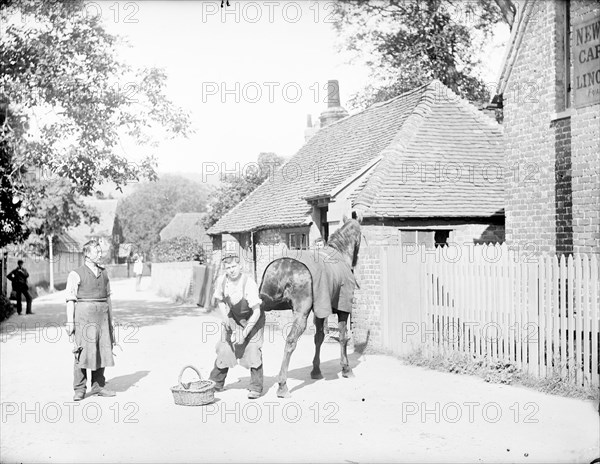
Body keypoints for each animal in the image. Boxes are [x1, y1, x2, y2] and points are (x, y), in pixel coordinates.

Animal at [258, 217, 360, 396]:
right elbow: (343, 337)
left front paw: (316, 371)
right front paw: (346, 368)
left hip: (263, 307)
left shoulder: (320, 310)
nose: (356, 261)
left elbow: (318, 338)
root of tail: (282, 267)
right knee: (290, 342)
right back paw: (282, 385)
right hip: (300, 314)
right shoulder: (342, 309)